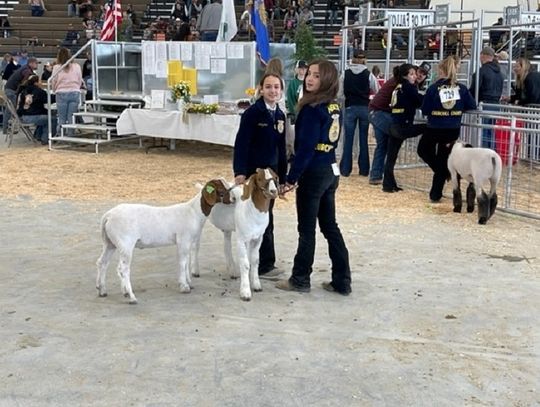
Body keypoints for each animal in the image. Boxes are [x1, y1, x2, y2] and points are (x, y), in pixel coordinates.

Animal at [95, 180, 232, 304]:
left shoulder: (186, 242)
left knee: (102, 262)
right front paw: (184, 286)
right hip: (125, 244)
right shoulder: (183, 239)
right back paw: (131, 297)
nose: (233, 199)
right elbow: (182, 263)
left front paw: (189, 283)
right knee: (123, 268)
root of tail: (108, 216)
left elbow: (186, 262)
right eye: (221, 190)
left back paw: (102, 290)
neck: (194, 212)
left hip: (110, 243)